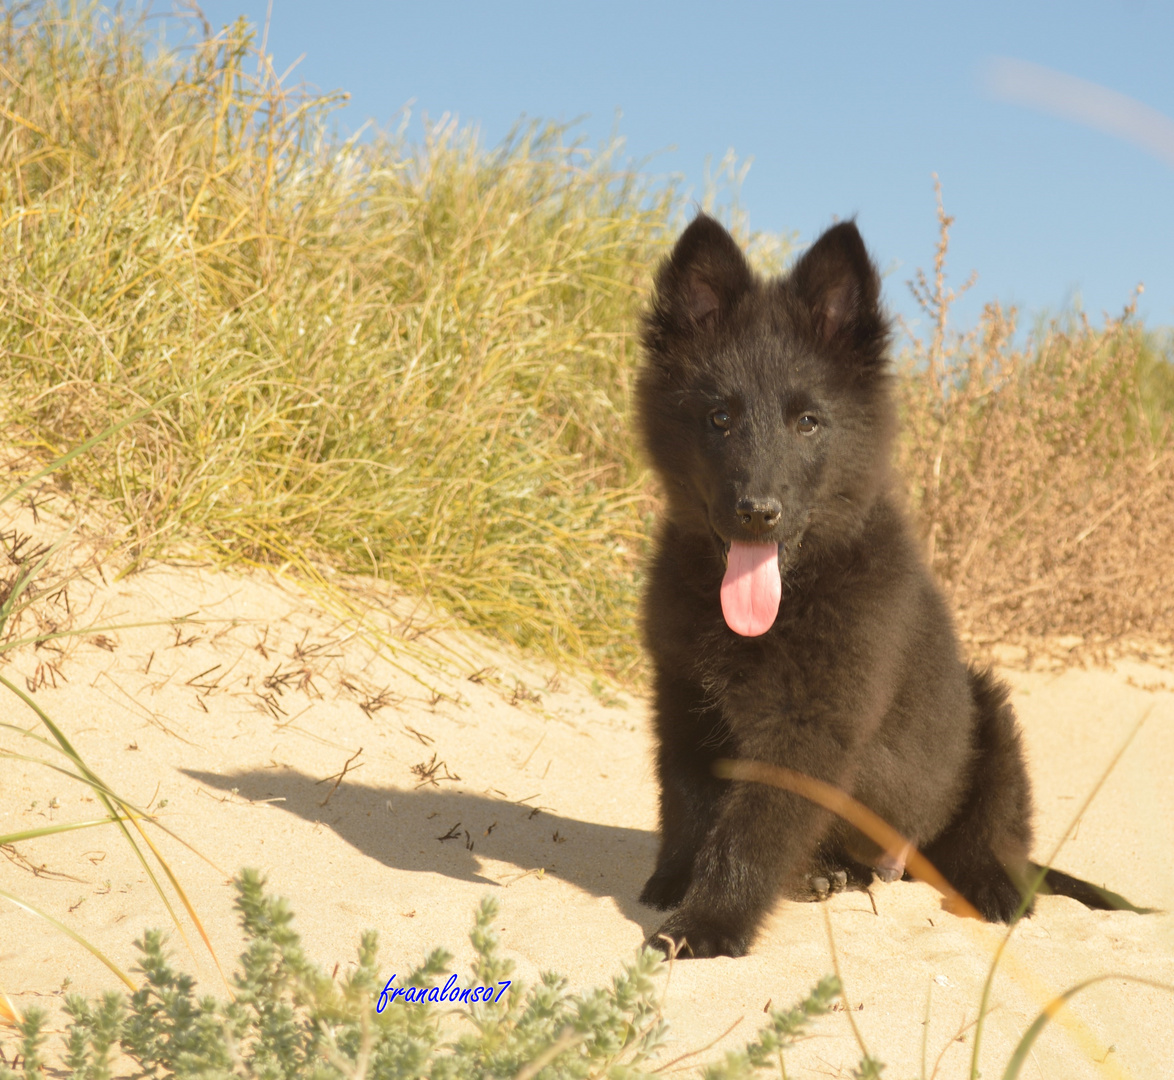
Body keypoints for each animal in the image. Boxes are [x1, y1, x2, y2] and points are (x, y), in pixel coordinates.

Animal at [633, 214, 1136, 957]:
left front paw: (709, 924)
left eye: (807, 422)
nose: (758, 511)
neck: (793, 591)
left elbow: (748, 832)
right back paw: (825, 877)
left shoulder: (809, 728)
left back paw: (992, 889)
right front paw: (672, 885)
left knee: (995, 837)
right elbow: (689, 804)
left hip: (991, 718)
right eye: (720, 418)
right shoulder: (684, 698)